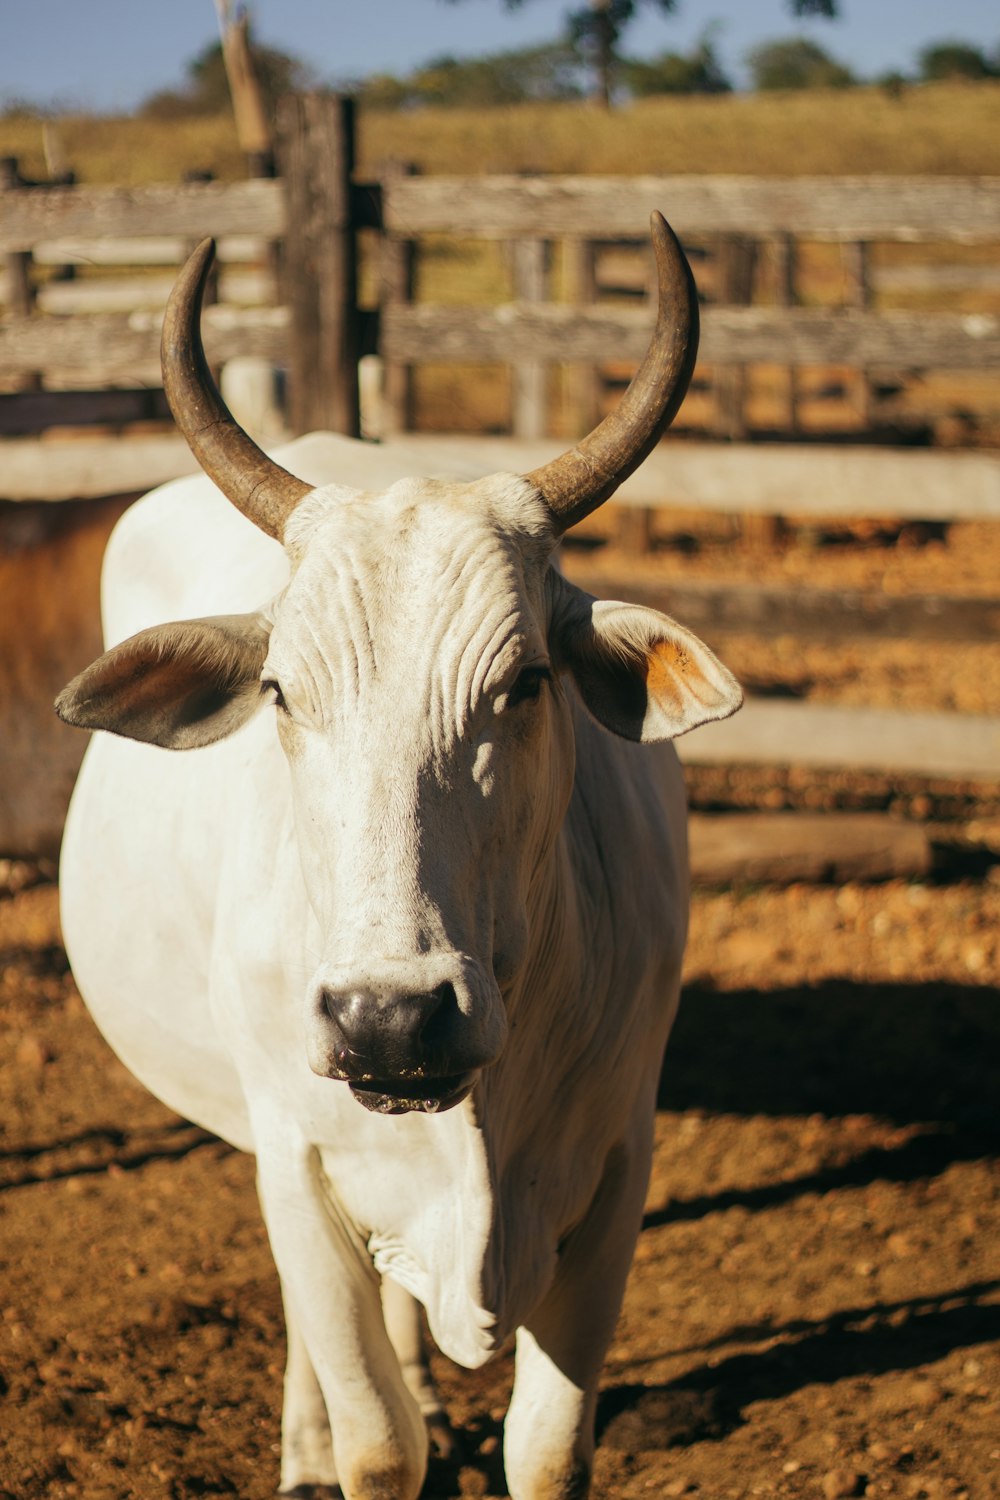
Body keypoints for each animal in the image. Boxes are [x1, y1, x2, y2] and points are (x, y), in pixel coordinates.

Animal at [56, 219, 743, 1500]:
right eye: (282, 691)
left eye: (524, 683)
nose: (389, 1017)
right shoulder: (300, 1167)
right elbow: (378, 1442)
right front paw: (340, 1444)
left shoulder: (616, 1175)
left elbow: (548, 1449)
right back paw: (305, 1444)